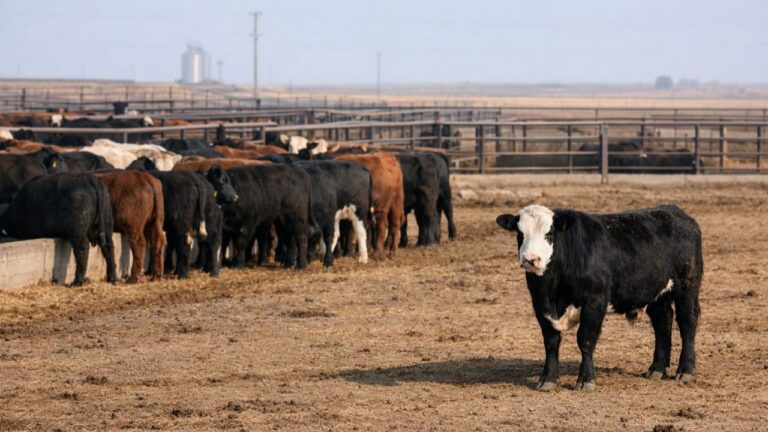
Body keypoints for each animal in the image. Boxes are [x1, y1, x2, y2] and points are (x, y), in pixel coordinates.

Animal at [495, 204, 703, 391]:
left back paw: (685, 371)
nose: (531, 259)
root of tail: (675, 212)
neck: (553, 289)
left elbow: (585, 340)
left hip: (687, 285)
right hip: (657, 293)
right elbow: (551, 342)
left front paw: (585, 380)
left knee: (687, 323)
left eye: (549, 234)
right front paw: (548, 379)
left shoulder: (594, 302)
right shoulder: (540, 304)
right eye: (520, 234)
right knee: (662, 323)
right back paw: (656, 369)